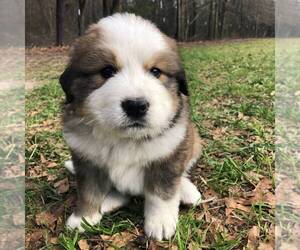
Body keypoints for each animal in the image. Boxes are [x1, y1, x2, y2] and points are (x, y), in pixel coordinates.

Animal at [59, 13, 202, 240]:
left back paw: (187, 191)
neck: (125, 139)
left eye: (156, 71)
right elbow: (88, 191)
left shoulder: (168, 154)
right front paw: (83, 218)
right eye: (107, 71)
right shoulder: (87, 161)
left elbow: (161, 192)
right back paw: (108, 202)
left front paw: (160, 222)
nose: (136, 106)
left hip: (193, 141)